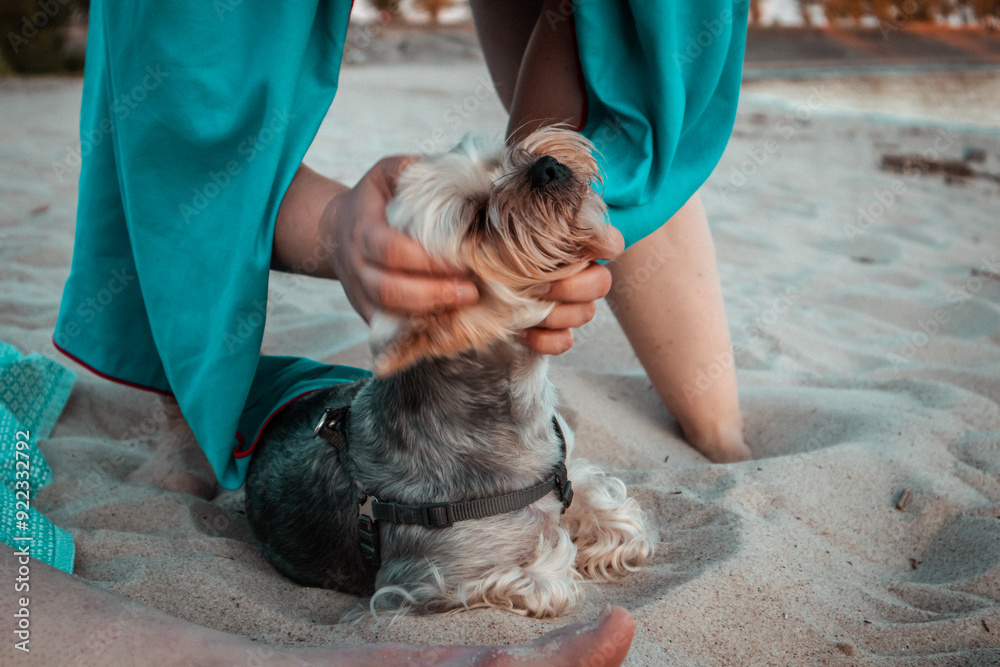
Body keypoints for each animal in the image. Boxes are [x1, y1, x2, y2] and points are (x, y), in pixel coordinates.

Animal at [245, 128, 652, 620]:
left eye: (501, 158)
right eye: (476, 221)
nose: (548, 166)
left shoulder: (570, 469)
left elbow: (615, 509)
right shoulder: (431, 578)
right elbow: (549, 573)